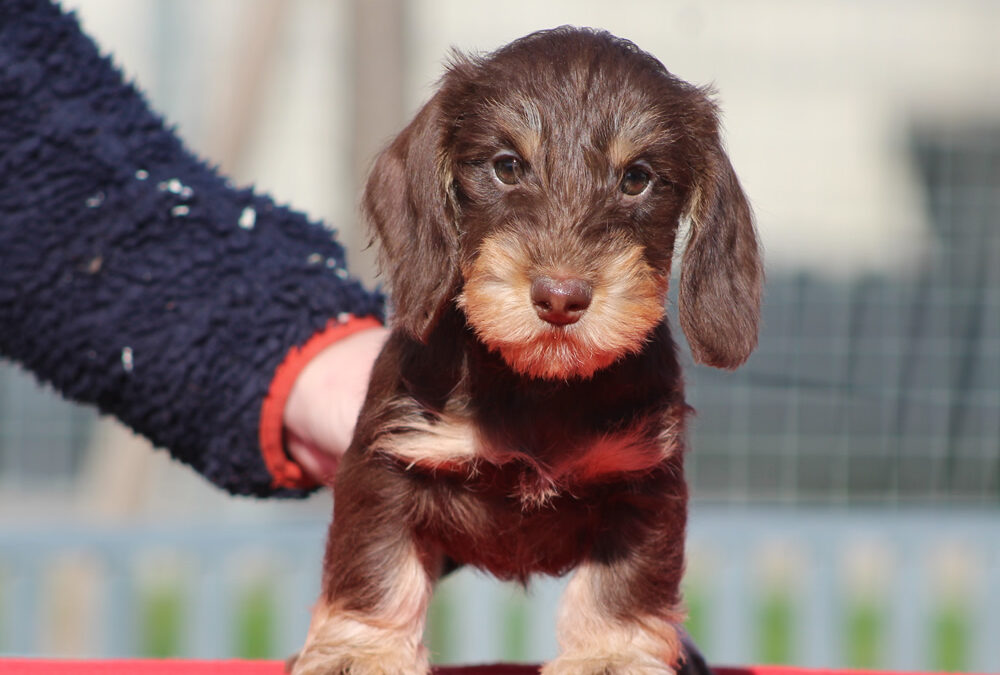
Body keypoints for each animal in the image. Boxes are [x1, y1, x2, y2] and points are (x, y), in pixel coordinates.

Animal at [292, 23, 760, 675]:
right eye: (507, 166)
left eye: (636, 178)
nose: (561, 298)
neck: (536, 384)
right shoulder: (386, 464)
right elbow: (377, 564)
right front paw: (359, 651)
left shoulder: (642, 485)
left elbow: (620, 585)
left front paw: (612, 655)